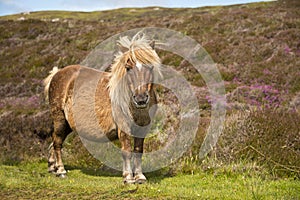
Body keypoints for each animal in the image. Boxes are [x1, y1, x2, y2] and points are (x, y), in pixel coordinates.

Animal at [43, 33, 162, 184]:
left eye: (150, 66)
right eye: (128, 67)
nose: (140, 98)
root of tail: (57, 74)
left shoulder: (142, 129)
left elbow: (138, 150)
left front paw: (140, 177)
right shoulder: (123, 128)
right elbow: (127, 151)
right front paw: (128, 178)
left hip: (68, 124)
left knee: (55, 140)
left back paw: (52, 166)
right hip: (59, 119)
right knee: (57, 142)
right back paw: (60, 170)